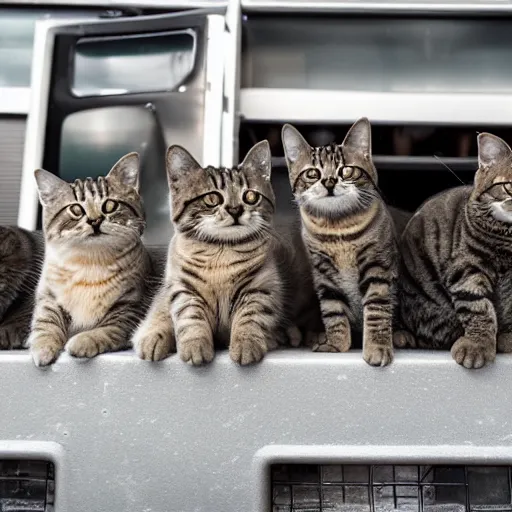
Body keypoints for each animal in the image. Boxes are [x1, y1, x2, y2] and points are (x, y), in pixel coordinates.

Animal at [28, 154, 152, 366]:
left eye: (110, 205)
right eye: (76, 209)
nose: (95, 220)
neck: (90, 263)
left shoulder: (131, 305)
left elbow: (106, 329)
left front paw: (83, 341)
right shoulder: (48, 295)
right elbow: (46, 321)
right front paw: (43, 347)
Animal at [132, 140, 316, 364]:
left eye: (250, 196)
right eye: (212, 198)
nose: (235, 210)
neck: (220, 252)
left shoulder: (260, 287)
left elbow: (249, 317)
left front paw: (246, 343)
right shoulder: (180, 287)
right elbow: (177, 315)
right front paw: (160, 338)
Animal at [282, 118, 398, 366]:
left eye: (346, 170)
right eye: (312, 173)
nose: (329, 181)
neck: (338, 230)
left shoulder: (377, 267)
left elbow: (377, 309)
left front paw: (377, 346)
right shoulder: (324, 274)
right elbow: (332, 310)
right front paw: (336, 344)